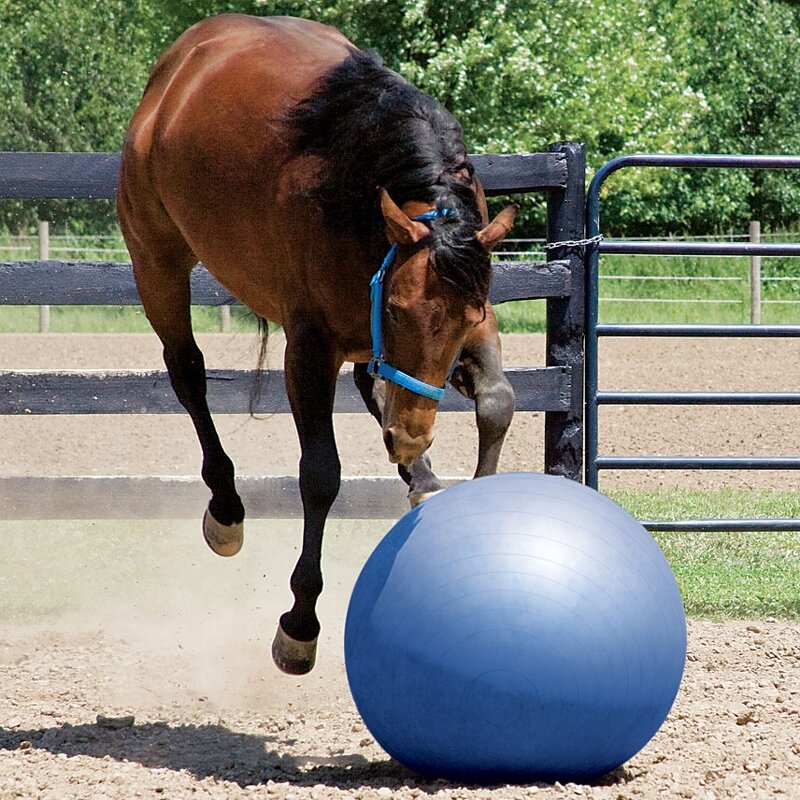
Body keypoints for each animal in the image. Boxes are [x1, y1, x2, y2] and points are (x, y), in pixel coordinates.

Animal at [117, 14, 517, 675]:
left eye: (464, 320)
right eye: (397, 309)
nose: (413, 437)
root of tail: (182, 59)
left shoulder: (472, 310)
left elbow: (498, 403)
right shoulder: (309, 345)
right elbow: (321, 475)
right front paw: (299, 624)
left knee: (371, 386)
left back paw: (420, 476)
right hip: (157, 260)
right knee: (188, 372)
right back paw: (227, 508)